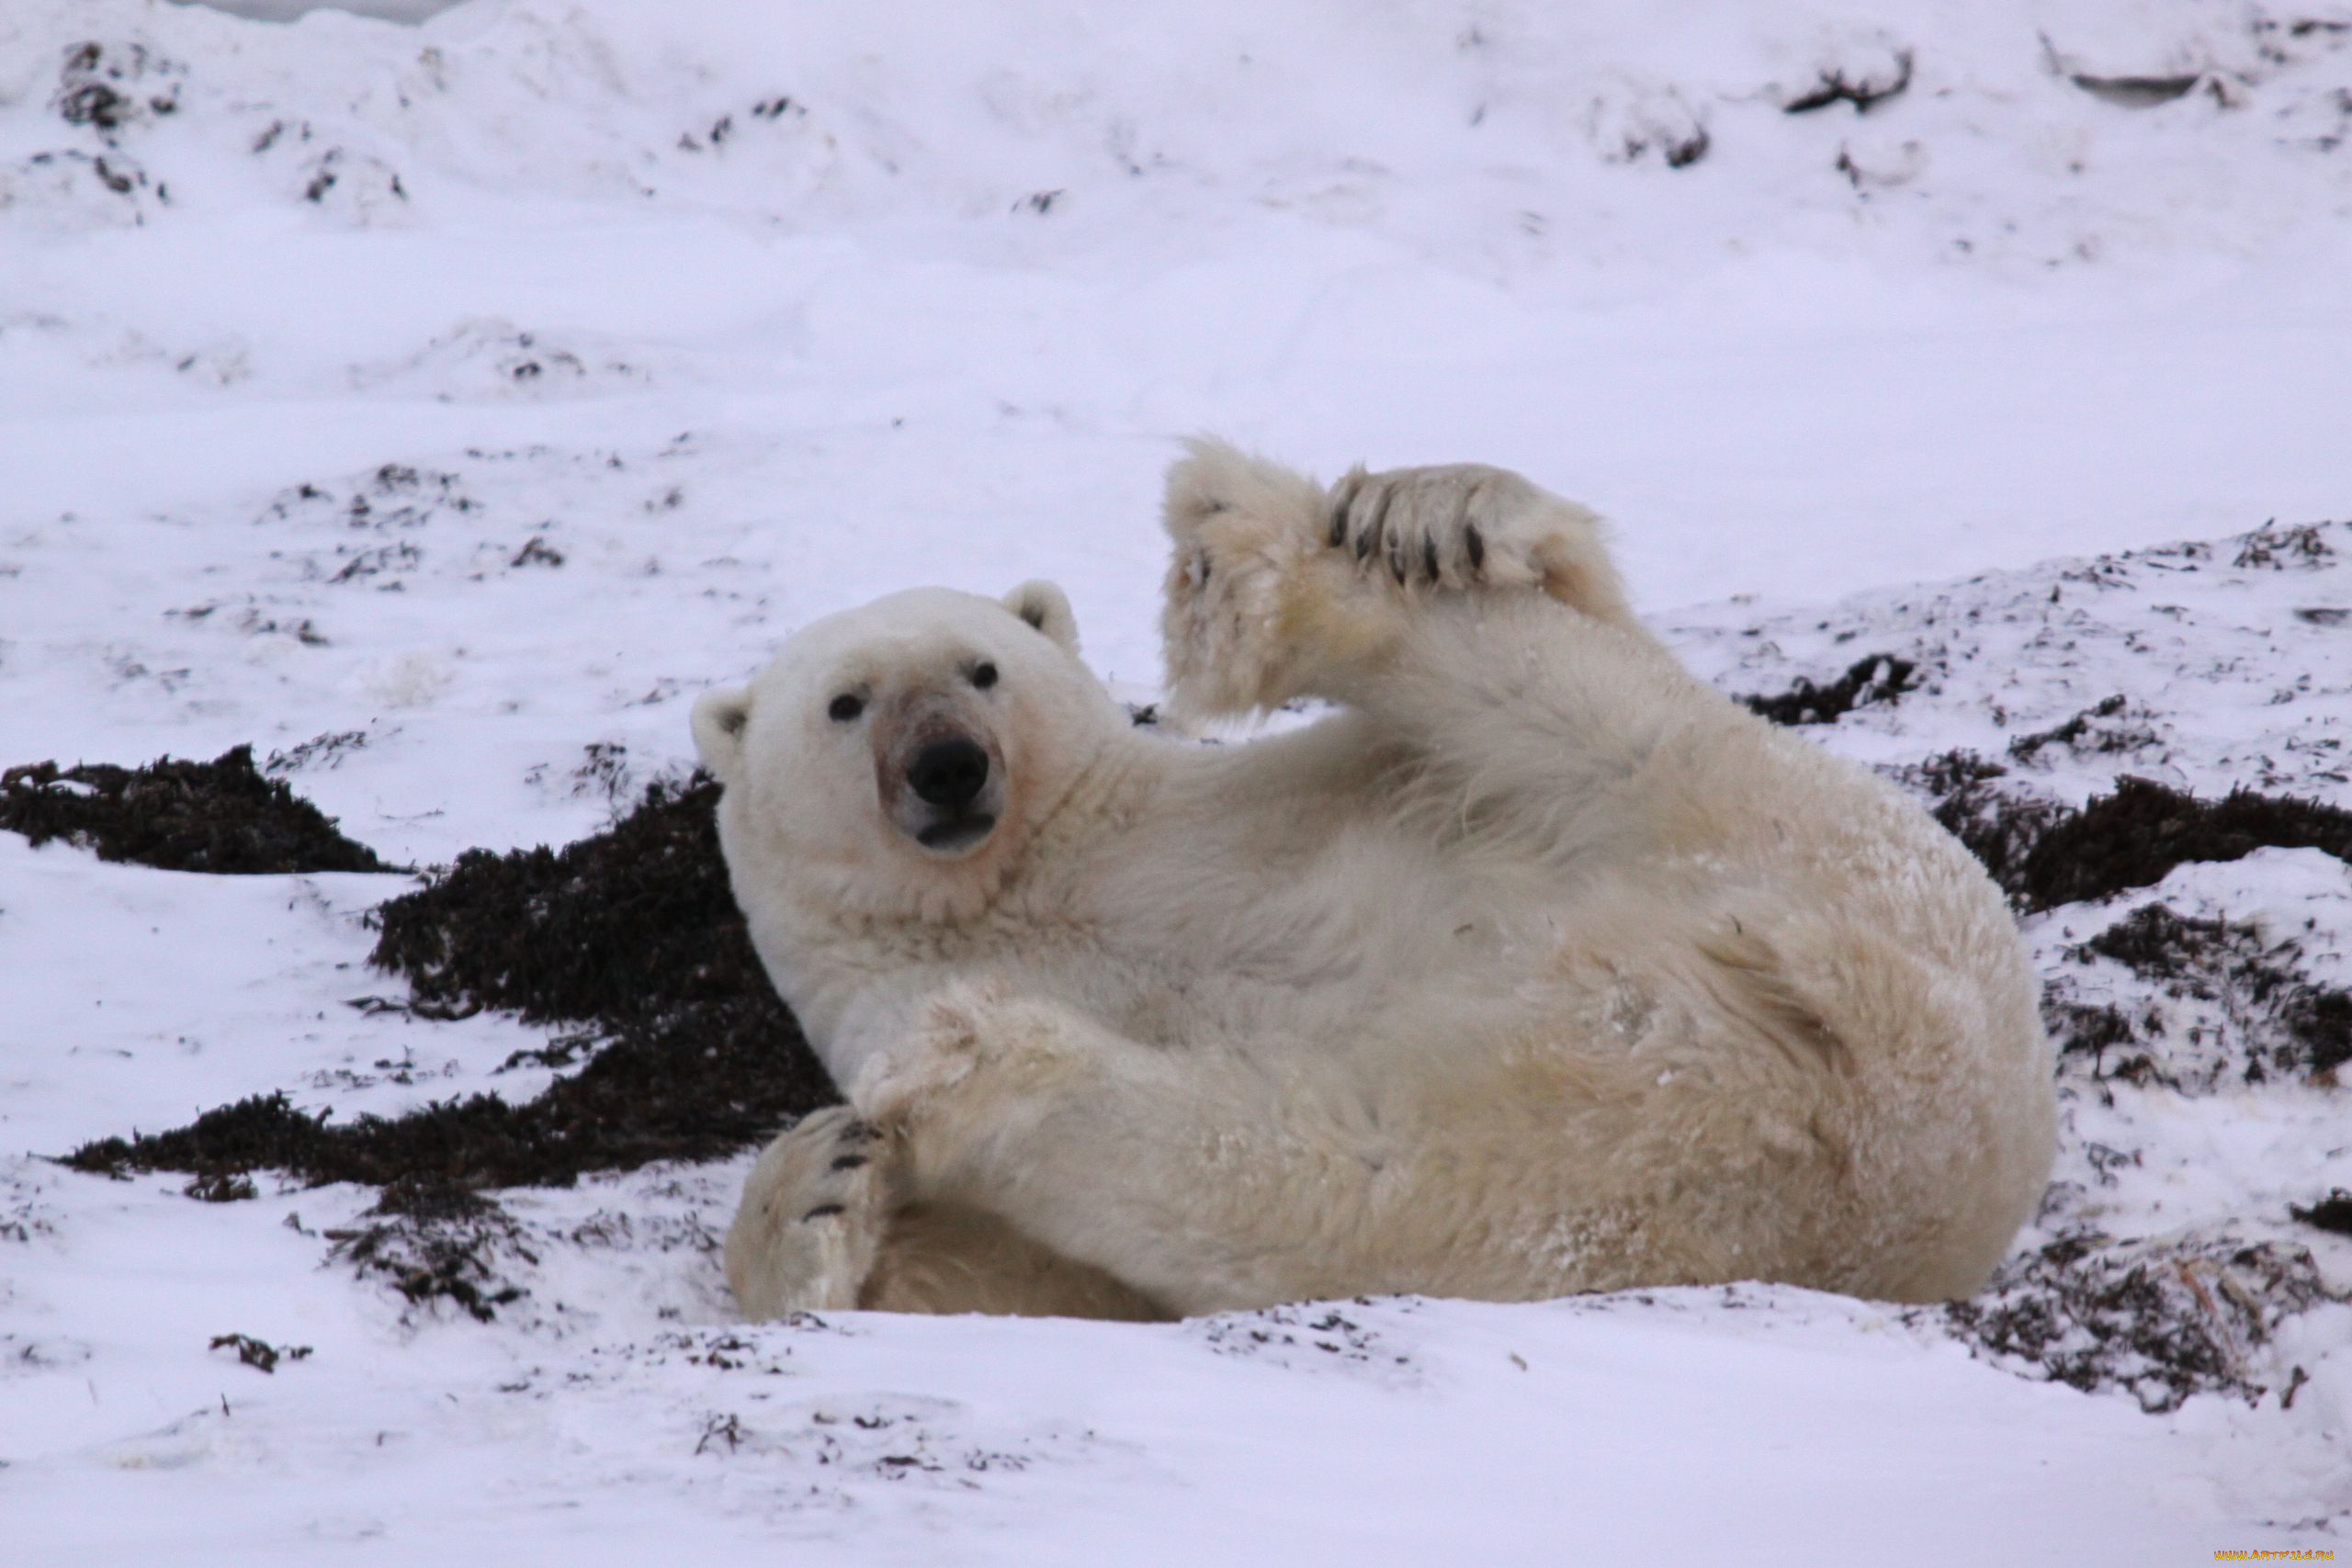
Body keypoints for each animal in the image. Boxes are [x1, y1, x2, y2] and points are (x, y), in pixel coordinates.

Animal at [686, 444, 2051, 1325]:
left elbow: (1578, 623)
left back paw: (1281, 546)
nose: (949, 766)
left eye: (980, 666)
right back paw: (979, 1060)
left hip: (1798, 840)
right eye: (846, 701)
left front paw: (1448, 511)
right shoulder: (874, 1008)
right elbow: (1024, 1283)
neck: (1027, 883)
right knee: (1318, 1169)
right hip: (1595, 1158)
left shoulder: (1247, 809)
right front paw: (823, 1188)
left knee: (1573, 701)